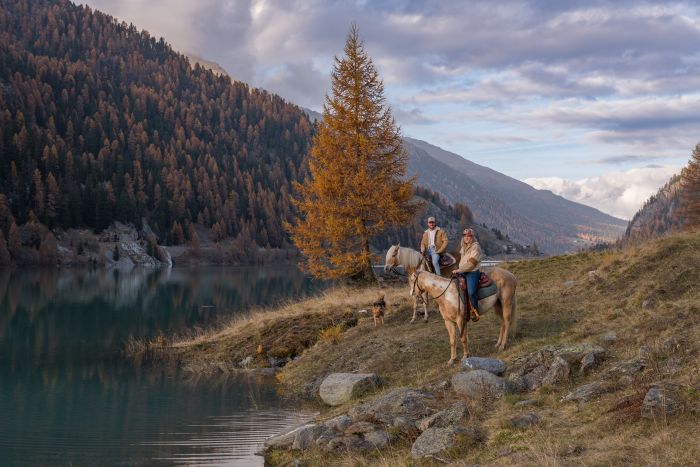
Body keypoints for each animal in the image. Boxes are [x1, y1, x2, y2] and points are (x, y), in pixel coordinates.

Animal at [386, 245, 516, 352]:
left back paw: (502, 346)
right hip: (498, 304)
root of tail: (511, 275)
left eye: (393, 255)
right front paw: (413, 319)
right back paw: (498, 344)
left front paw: (425, 318)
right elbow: (417, 304)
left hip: (506, 303)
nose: (386, 268)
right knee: (503, 322)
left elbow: (424, 303)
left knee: (507, 321)